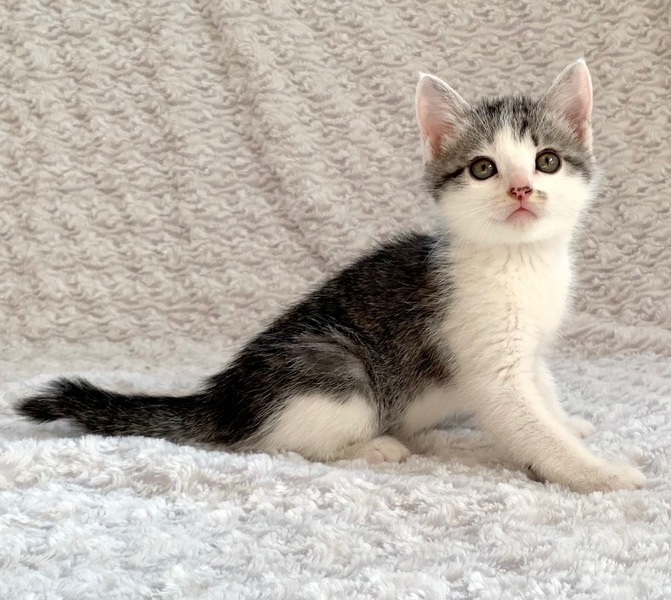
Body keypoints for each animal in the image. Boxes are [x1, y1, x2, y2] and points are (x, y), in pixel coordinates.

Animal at [17, 60, 645, 493]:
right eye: (483, 168)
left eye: (547, 161)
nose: (519, 189)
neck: (520, 261)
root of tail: (222, 399)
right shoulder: (488, 362)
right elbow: (529, 423)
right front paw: (601, 475)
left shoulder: (531, 348)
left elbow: (545, 393)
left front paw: (571, 424)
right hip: (335, 368)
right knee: (277, 444)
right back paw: (375, 448)